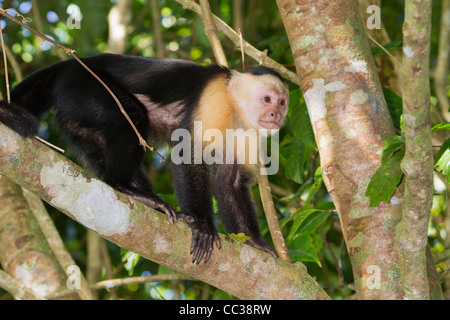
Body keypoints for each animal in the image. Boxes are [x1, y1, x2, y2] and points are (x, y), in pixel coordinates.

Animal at [0, 54, 288, 262]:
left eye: (282, 102)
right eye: (267, 99)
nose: (276, 115)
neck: (234, 106)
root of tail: (75, 62)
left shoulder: (249, 130)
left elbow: (231, 179)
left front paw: (255, 242)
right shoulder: (214, 98)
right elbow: (188, 153)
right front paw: (204, 225)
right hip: (85, 86)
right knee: (132, 117)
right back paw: (125, 187)